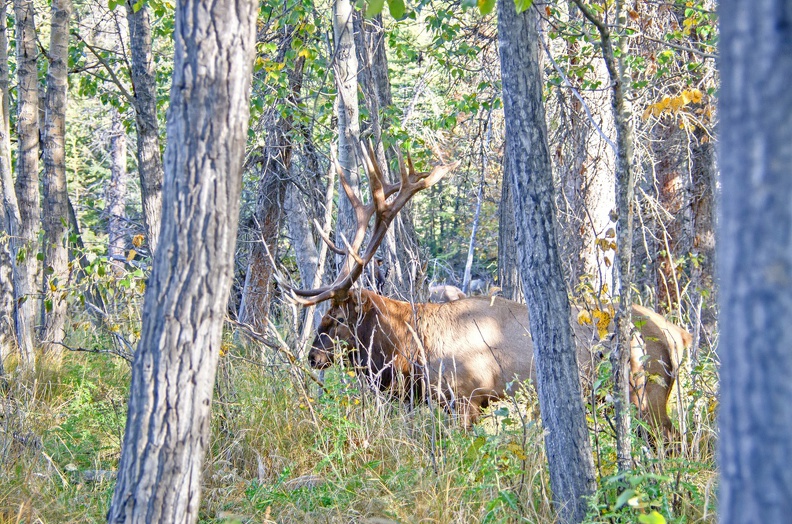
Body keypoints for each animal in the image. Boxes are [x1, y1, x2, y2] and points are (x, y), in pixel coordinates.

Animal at [282, 143, 688, 438]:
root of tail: (680, 335)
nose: (312, 357)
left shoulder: (467, 396)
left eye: (335, 319)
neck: (411, 351)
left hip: (647, 392)